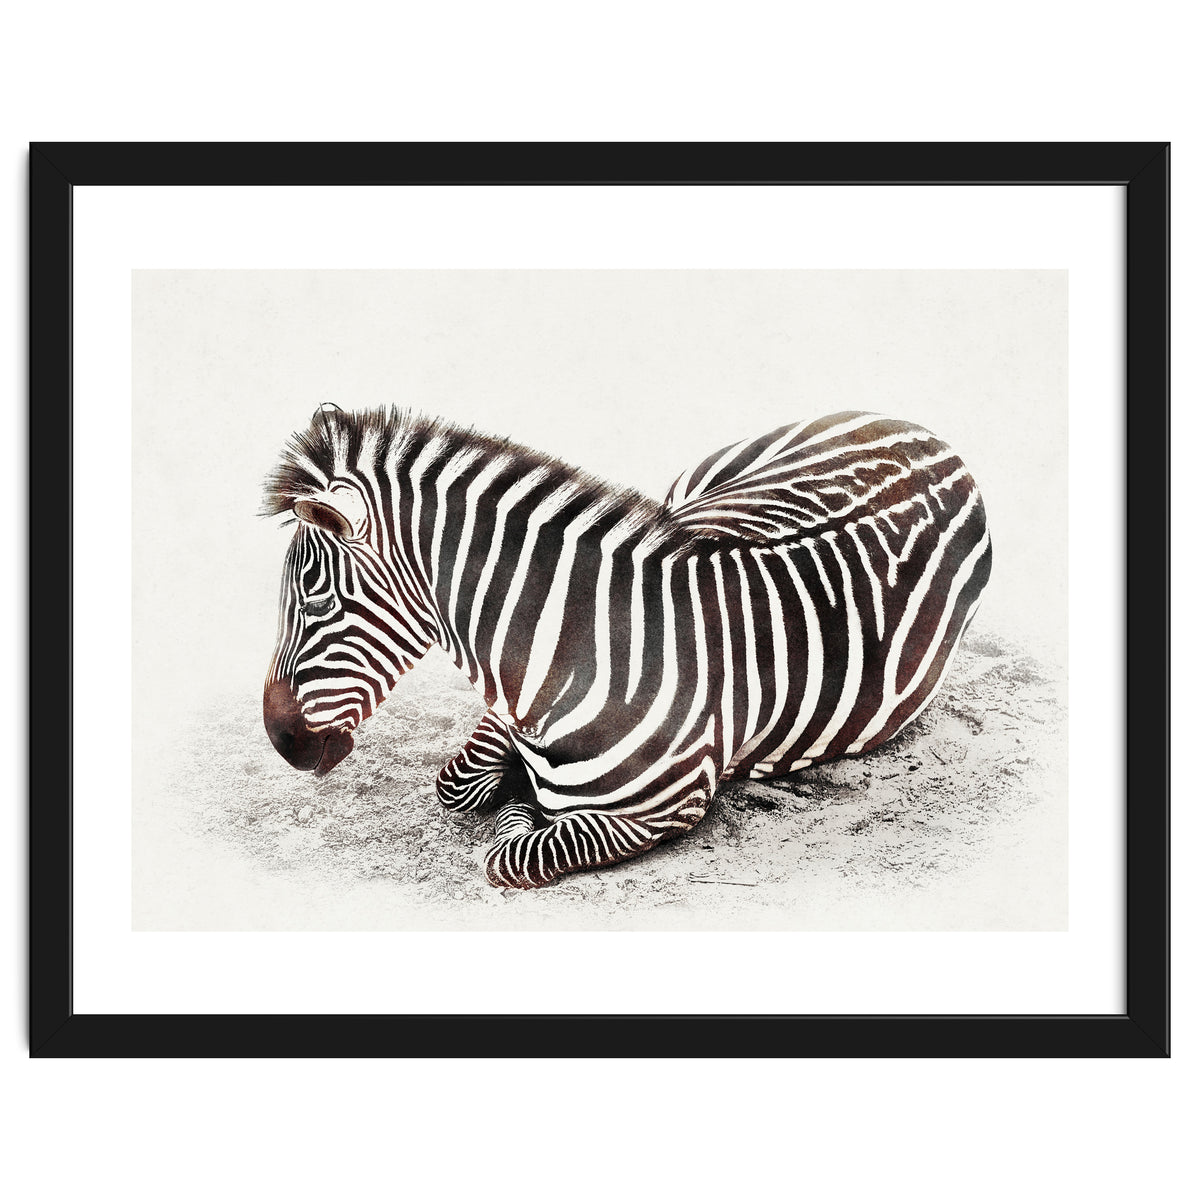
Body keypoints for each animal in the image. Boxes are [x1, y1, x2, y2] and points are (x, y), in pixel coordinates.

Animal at [263, 406, 991, 889]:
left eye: (317, 601)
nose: (281, 741)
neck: (584, 649)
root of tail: (936, 438)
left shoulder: (665, 808)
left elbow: (511, 851)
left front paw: (521, 805)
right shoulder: (506, 711)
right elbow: (458, 784)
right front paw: (512, 785)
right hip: (692, 491)